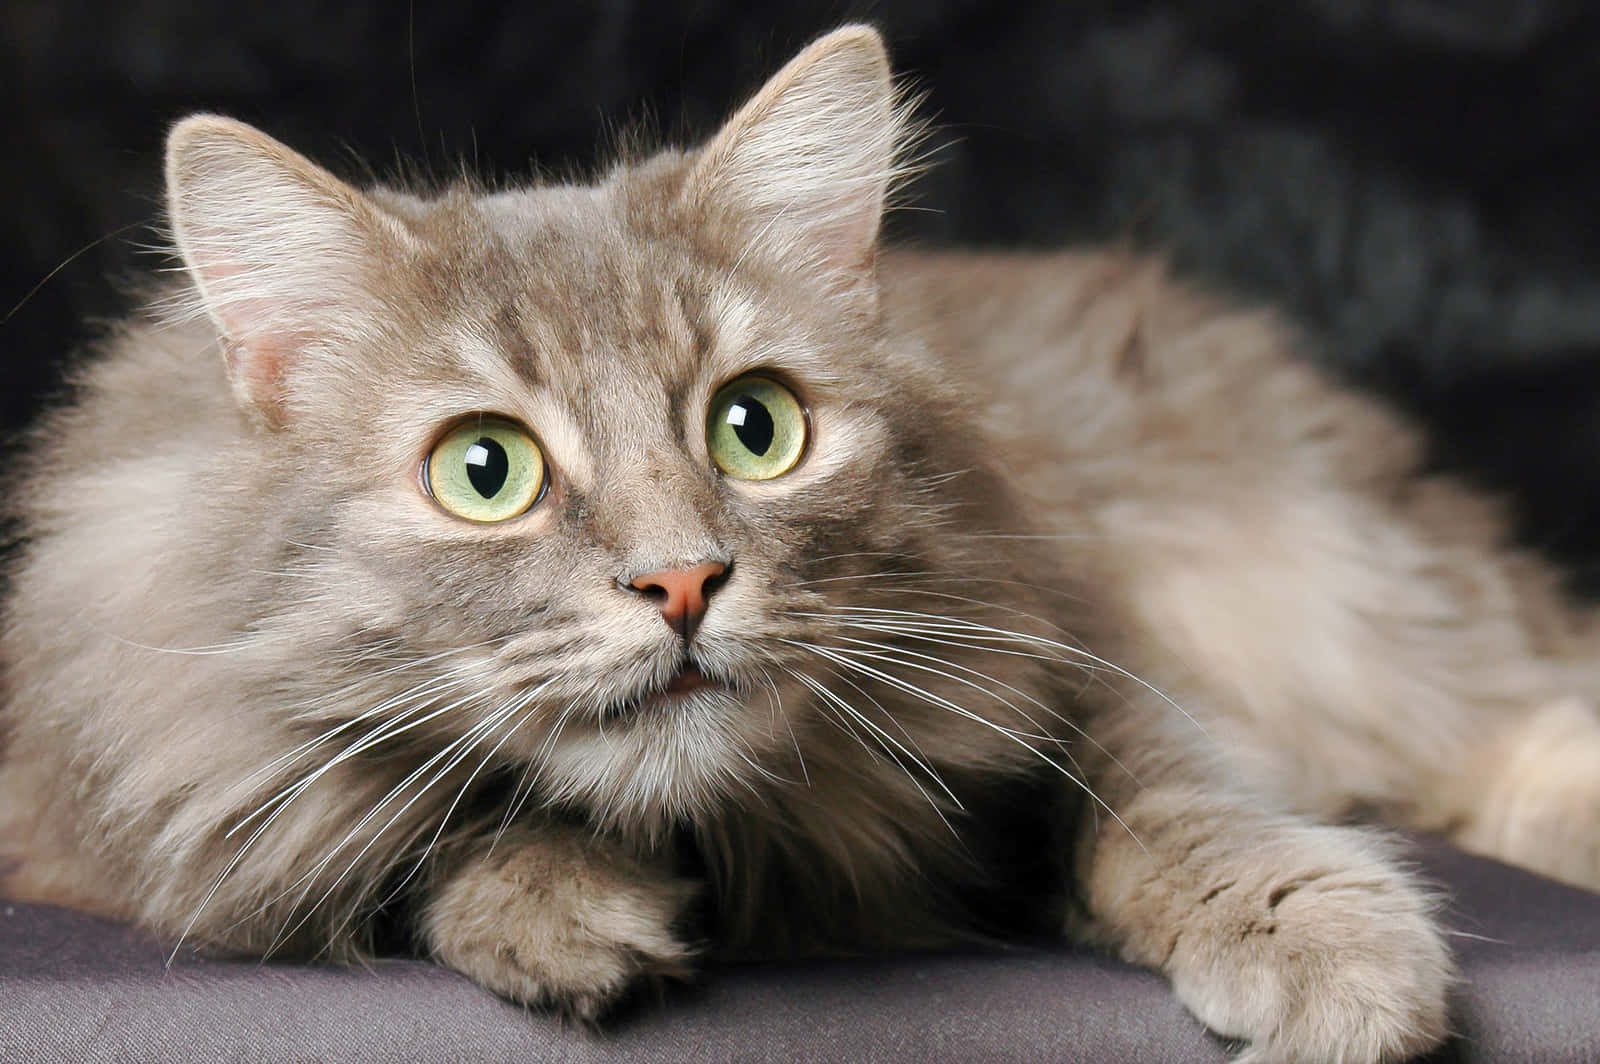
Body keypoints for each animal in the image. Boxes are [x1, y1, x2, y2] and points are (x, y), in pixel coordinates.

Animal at [3, 24, 1600, 1062]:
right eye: (484, 470)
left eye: (753, 429)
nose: (683, 580)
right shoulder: (168, 790)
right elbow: (426, 827)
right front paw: (564, 911)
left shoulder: (1067, 642)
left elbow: (1175, 803)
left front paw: (1335, 957)